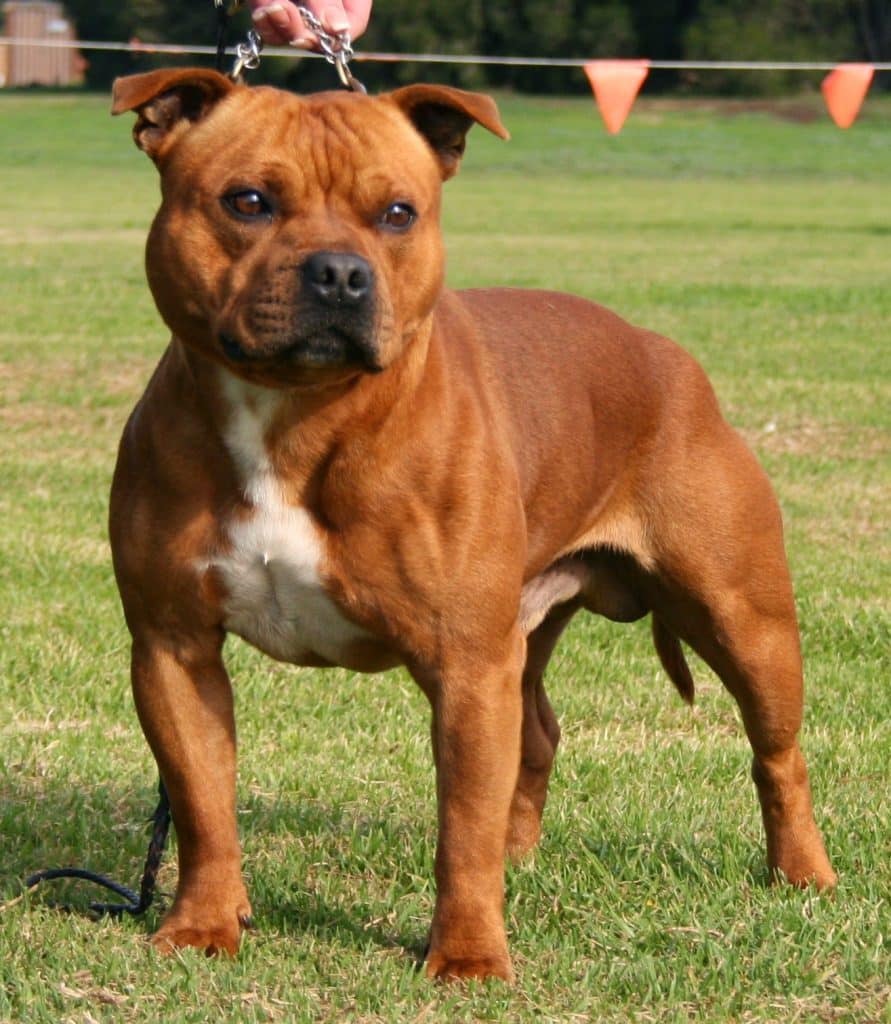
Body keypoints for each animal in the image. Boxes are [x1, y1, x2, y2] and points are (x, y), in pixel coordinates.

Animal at [110, 68, 835, 978]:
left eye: (398, 213)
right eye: (247, 201)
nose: (339, 274)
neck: (295, 416)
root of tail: (665, 354)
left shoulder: (463, 667)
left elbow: (460, 827)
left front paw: (466, 959)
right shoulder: (175, 650)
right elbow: (203, 803)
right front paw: (203, 925)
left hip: (741, 618)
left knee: (777, 752)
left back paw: (802, 874)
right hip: (523, 633)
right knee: (537, 733)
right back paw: (518, 855)